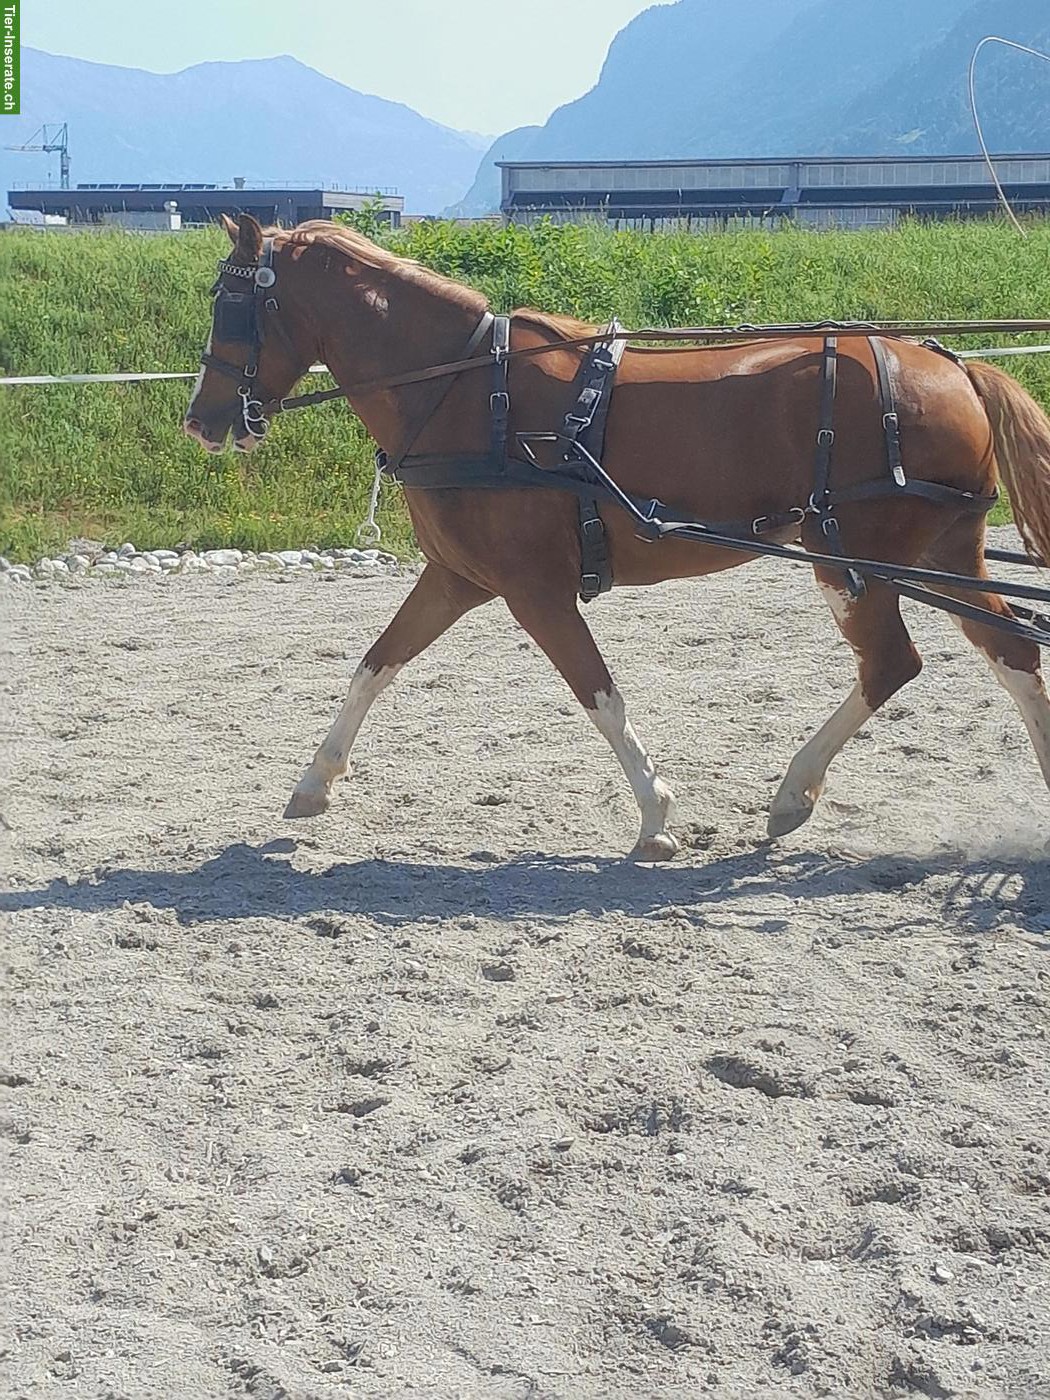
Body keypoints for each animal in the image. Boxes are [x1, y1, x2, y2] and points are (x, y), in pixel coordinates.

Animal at [184, 213, 1050, 860]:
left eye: (232, 305)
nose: (200, 419)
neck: (467, 392)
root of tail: (954, 367)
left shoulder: (534, 590)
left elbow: (596, 691)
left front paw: (656, 815)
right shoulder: (458, 579)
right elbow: (375, 664)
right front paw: (314, 782)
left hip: (851, 559)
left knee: (893, 664)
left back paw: (791, 792)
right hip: (940, 554)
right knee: (1009, 650)